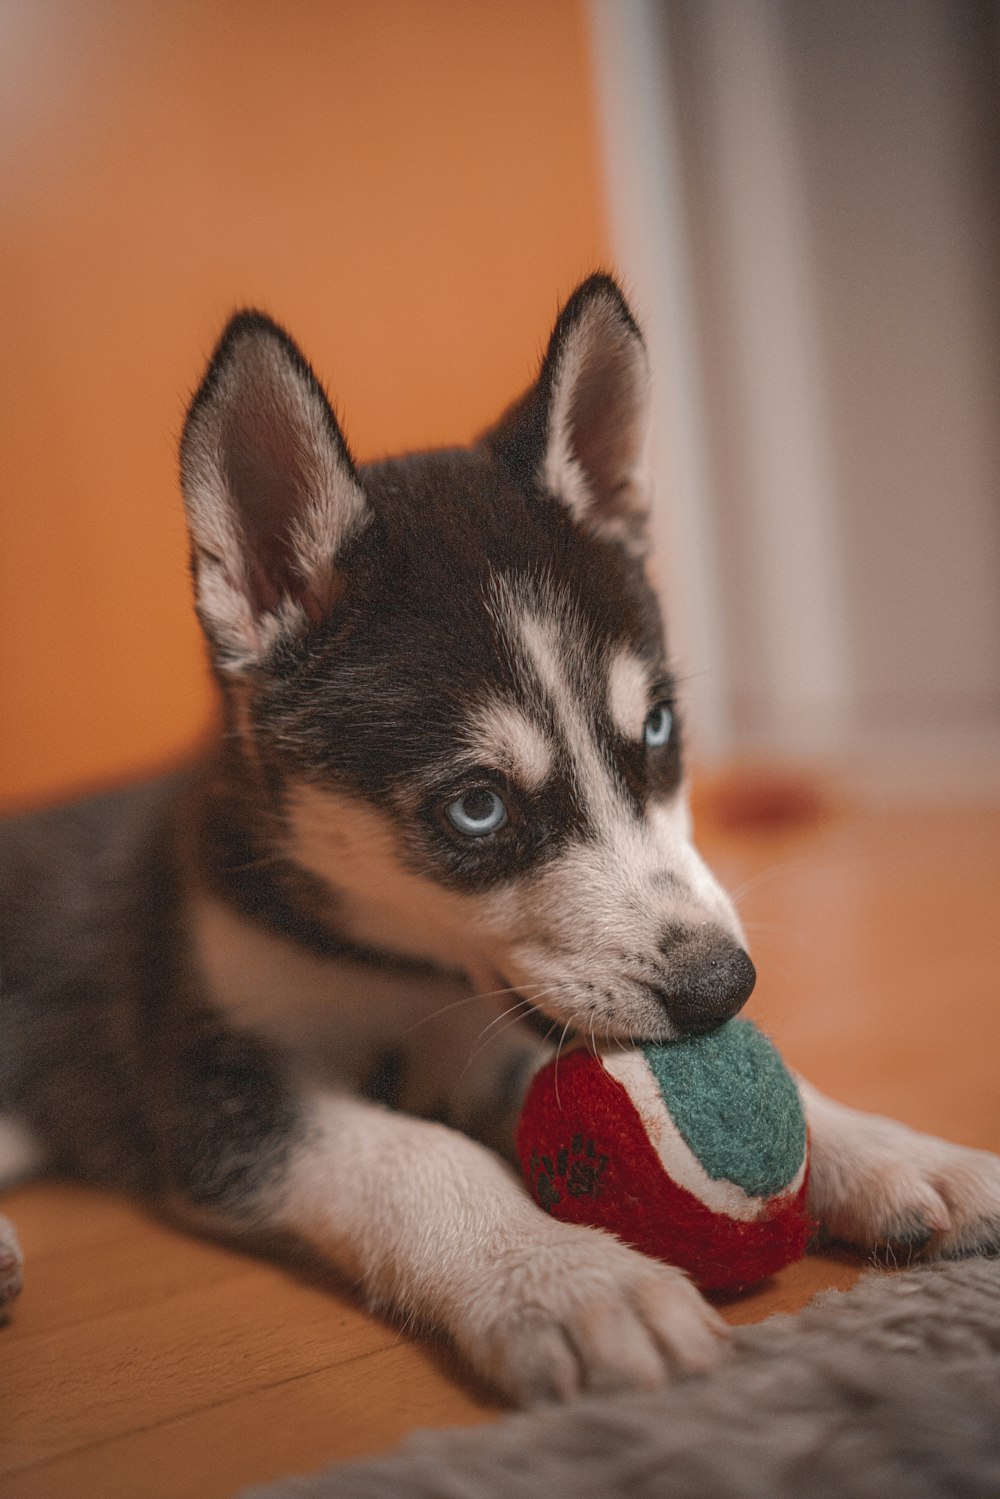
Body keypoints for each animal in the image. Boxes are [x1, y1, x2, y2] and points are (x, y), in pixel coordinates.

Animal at [1, 272, 1000, 1403]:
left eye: (658, 728)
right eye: (476, 808)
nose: (721, 988)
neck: (394, 958)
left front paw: (893, 1152)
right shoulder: (216, 1084)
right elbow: (415, 1157)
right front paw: (569, 1280)